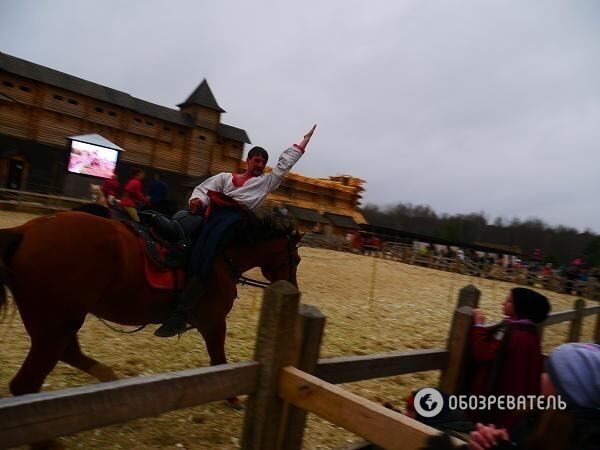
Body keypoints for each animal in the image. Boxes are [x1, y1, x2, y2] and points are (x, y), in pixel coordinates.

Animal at [0, 211, 300, 400]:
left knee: (66, 354)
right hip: (56, 323)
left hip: (64, 320)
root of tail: (24, 231)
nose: (295, 288)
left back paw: (109, 378)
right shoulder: (214, 322)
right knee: (25, 384)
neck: (220, 256)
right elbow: (219, 362)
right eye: (295, 259)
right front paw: (232, 398)